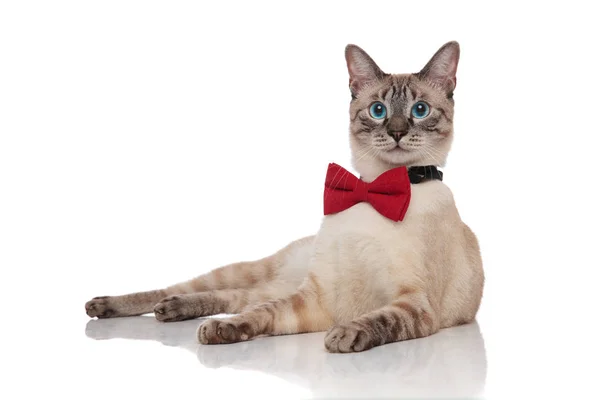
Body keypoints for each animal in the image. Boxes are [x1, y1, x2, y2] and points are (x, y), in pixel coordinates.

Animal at [86, 41, 486, 354]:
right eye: (378, 111)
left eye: (420, 110)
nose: (398, 132)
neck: (375, 188)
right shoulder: (314, 299)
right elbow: (261, 314)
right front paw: (223, 329)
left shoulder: (412, 305)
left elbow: (378, 319)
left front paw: (344, 334)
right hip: (252, 271)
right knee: (190, 289)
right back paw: (108, 305)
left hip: (267, 284)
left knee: (235, 297)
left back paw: (173, 310)